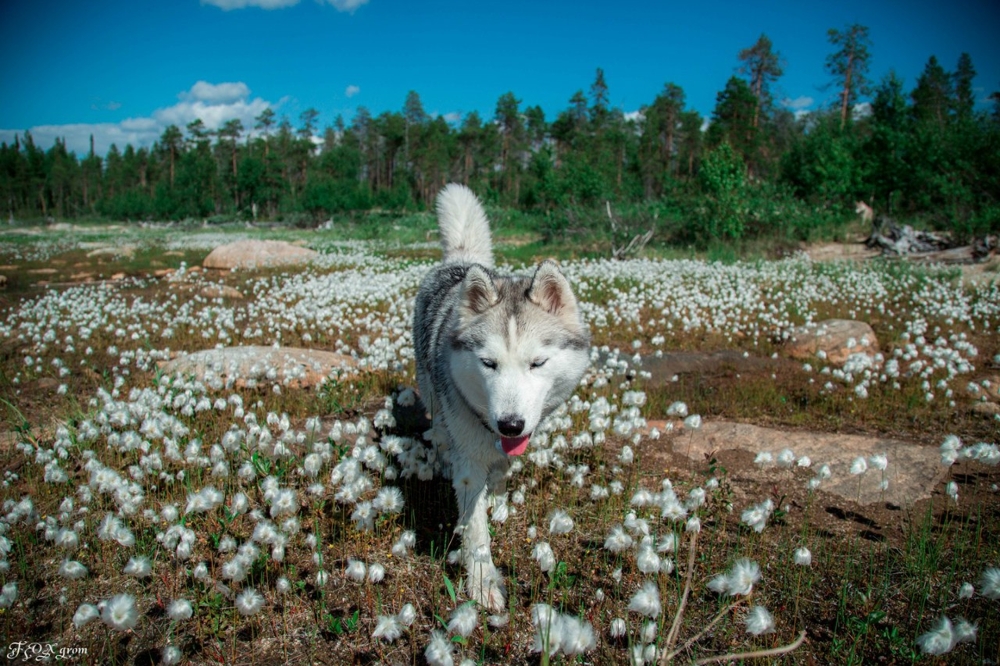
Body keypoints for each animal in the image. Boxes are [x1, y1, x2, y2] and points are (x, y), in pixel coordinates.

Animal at [416, 182, 592, 608]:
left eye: (537, 363)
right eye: (489, 363)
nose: (510, 425)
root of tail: (462, 260)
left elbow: (500, 474)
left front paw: (497, 499)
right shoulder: (469, 460)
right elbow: (475, 529)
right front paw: (481, 584)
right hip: (431, 396)